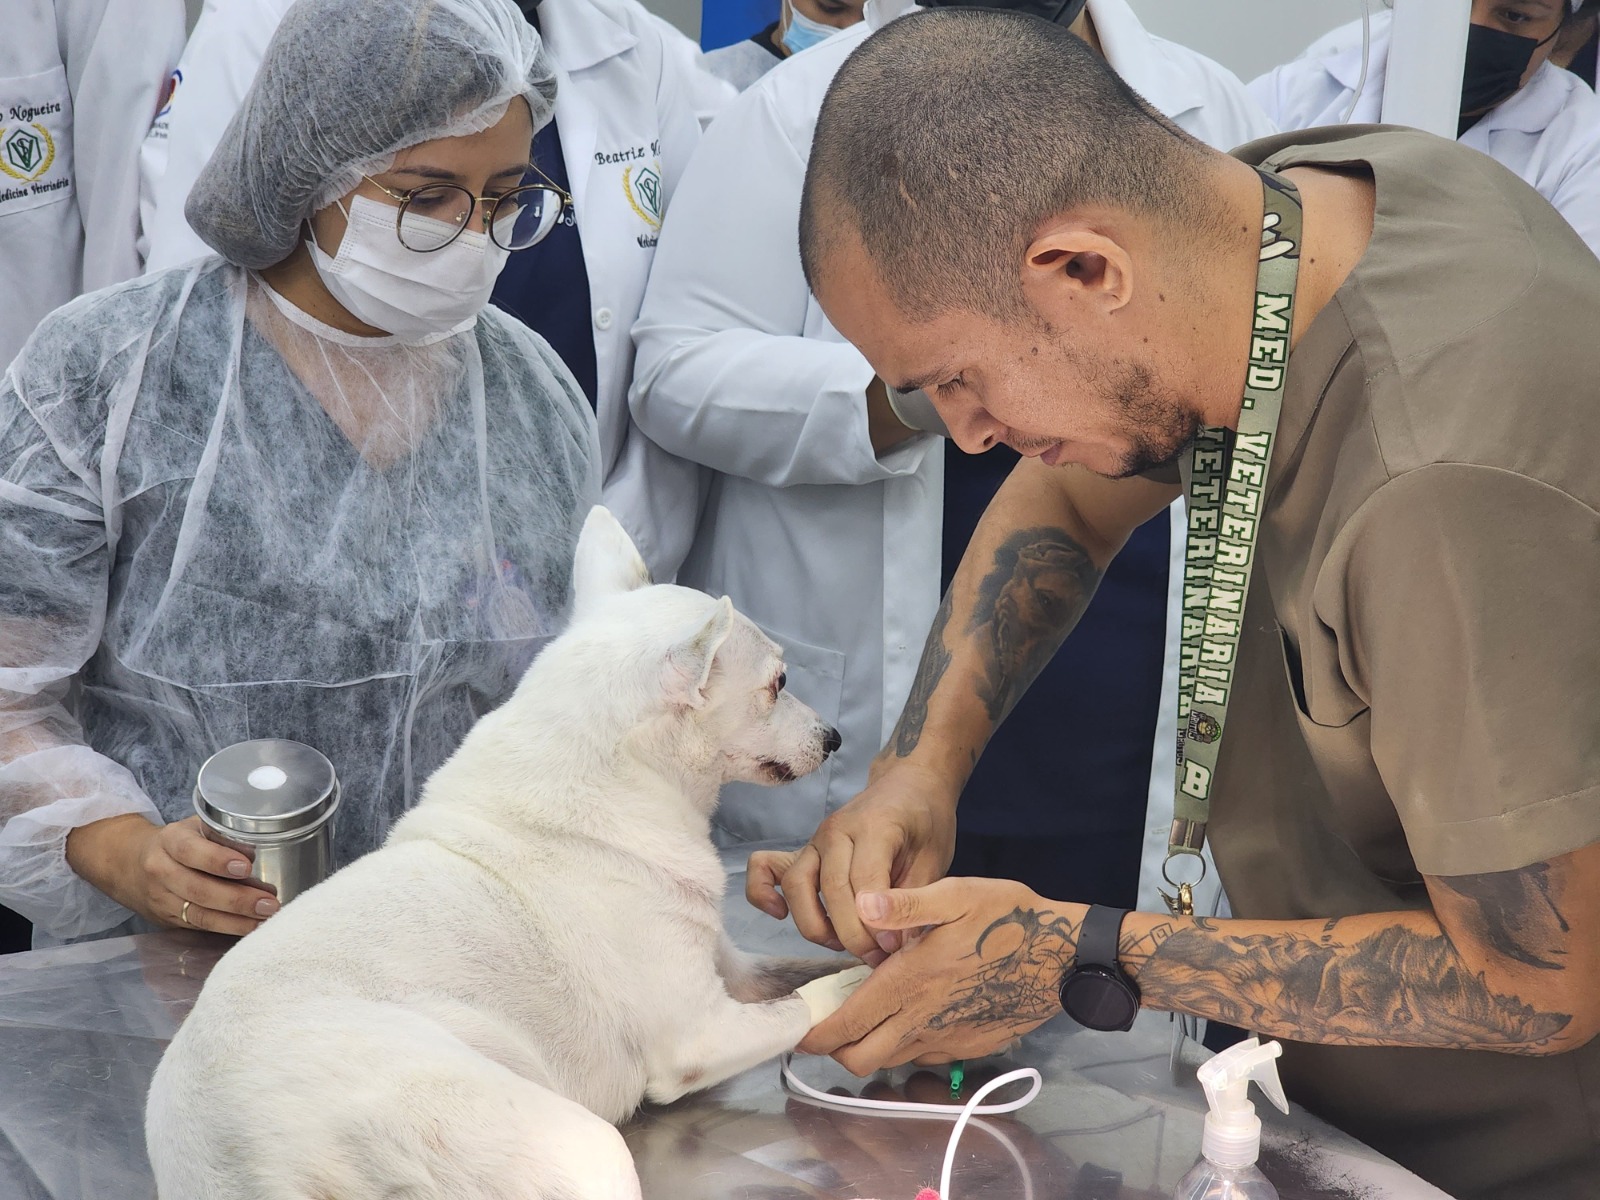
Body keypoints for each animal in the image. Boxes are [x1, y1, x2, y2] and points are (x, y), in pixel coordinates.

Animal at [144, 508, 870, 1200]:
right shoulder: (701, 1034)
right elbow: (806, 1003)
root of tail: (246, 1164)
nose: (835, 737)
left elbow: (798, 971)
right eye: (778, 683)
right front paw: (862, 986)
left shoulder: (734, 970)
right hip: (576, 1144)